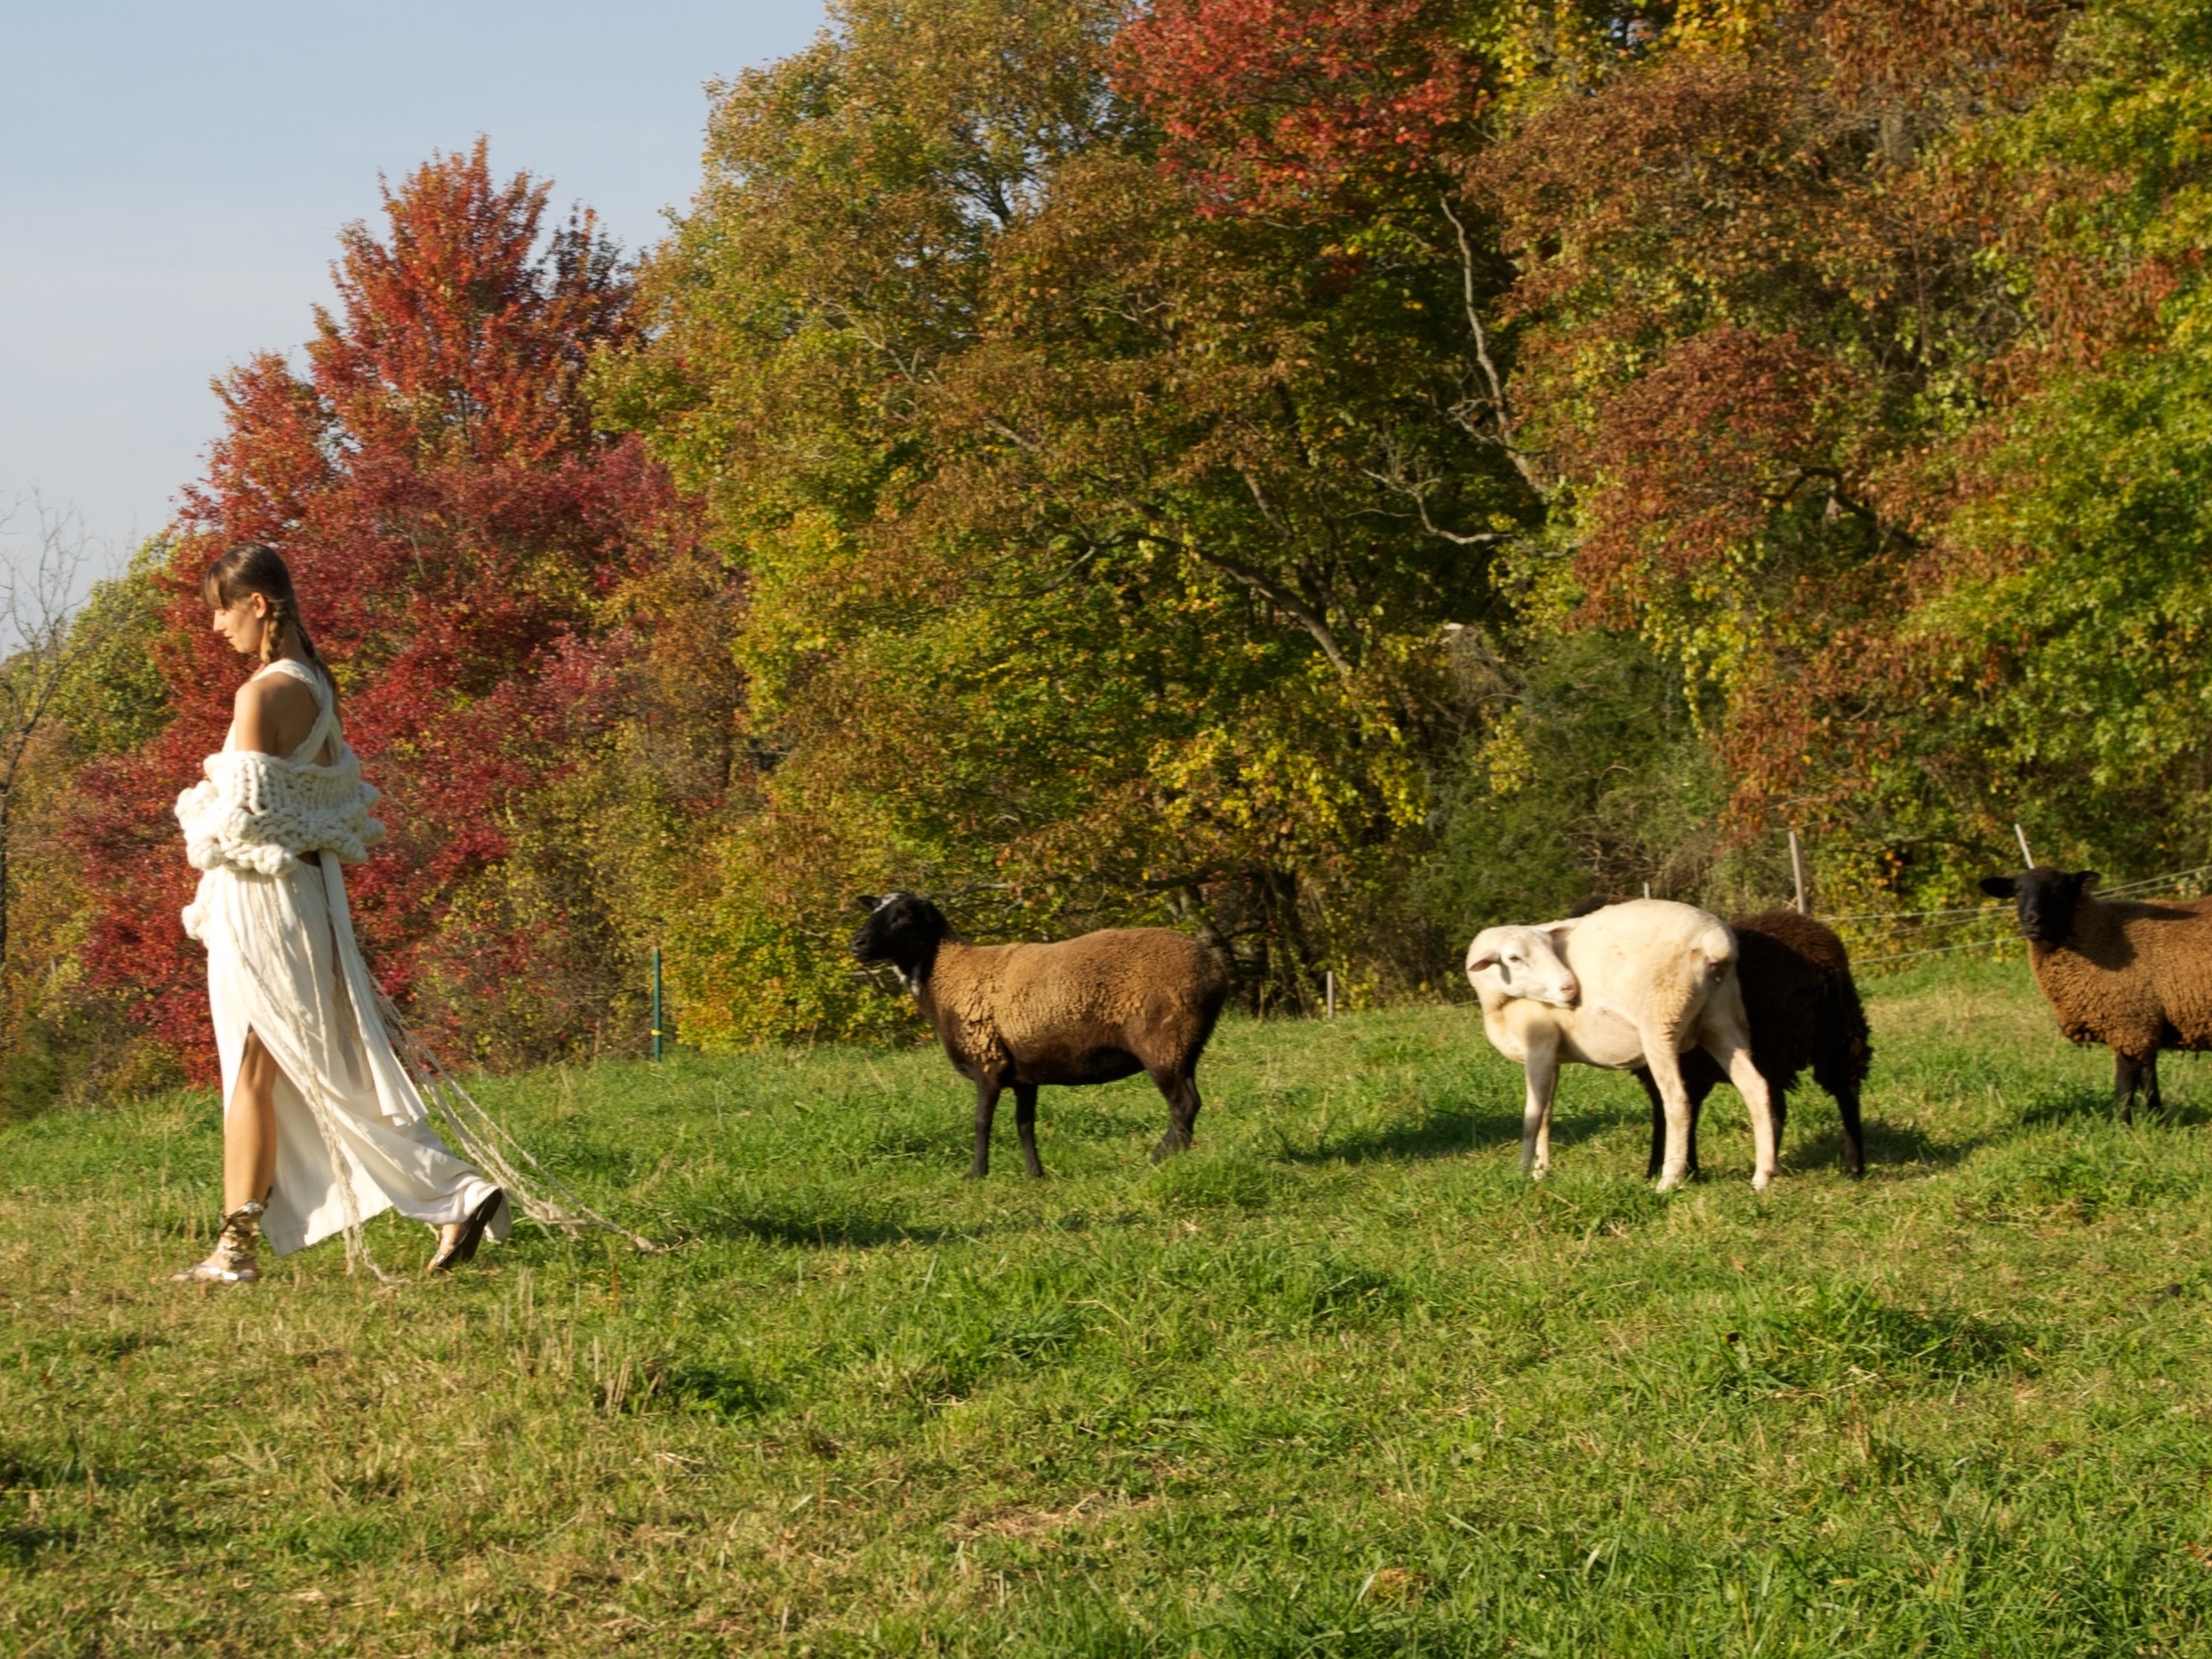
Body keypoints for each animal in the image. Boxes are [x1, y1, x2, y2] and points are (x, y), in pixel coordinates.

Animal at [849, 898, 1239, 1185]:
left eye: (903, 916)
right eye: (873, 908)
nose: (857, 943)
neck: (949, 975)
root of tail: (1214, 968)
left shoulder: (987, 1061)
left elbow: (980, 1121)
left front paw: (976, 1174)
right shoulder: (1023, 1073)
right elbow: (1025, 1125)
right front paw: (1034, 1174)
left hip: (1164, 1041)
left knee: (1183, 1104)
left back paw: (1160, 1158)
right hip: (1187, 1044)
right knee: (1189, 1103)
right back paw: (1173, 1156)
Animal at [1469, 902, 1778, 1185]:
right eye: (1513, 958)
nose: (1570, 988)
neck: (1498, 1004)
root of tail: (1715, 939)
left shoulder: (1539, 1047)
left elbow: (1532, 1117)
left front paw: (1521, 1172)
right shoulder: (1553, 1054)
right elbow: (1546, 1115)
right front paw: (1540, 1172)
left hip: (1661, 1020)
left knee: (1677, 1101)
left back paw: (1668, 1181)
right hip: (1723, 1020)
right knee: (1755, 1087)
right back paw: (1762, 1177)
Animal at [1982, 862, 2212, 1123]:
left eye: (2060, 890)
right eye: (2018, 891)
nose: (2032, 920)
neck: (2100, 932)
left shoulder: (2129, 1023)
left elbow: (2124, 1087)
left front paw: (2124, 1127)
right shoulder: (2145, 1024)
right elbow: (2148, 1081)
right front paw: (2158, 1121)